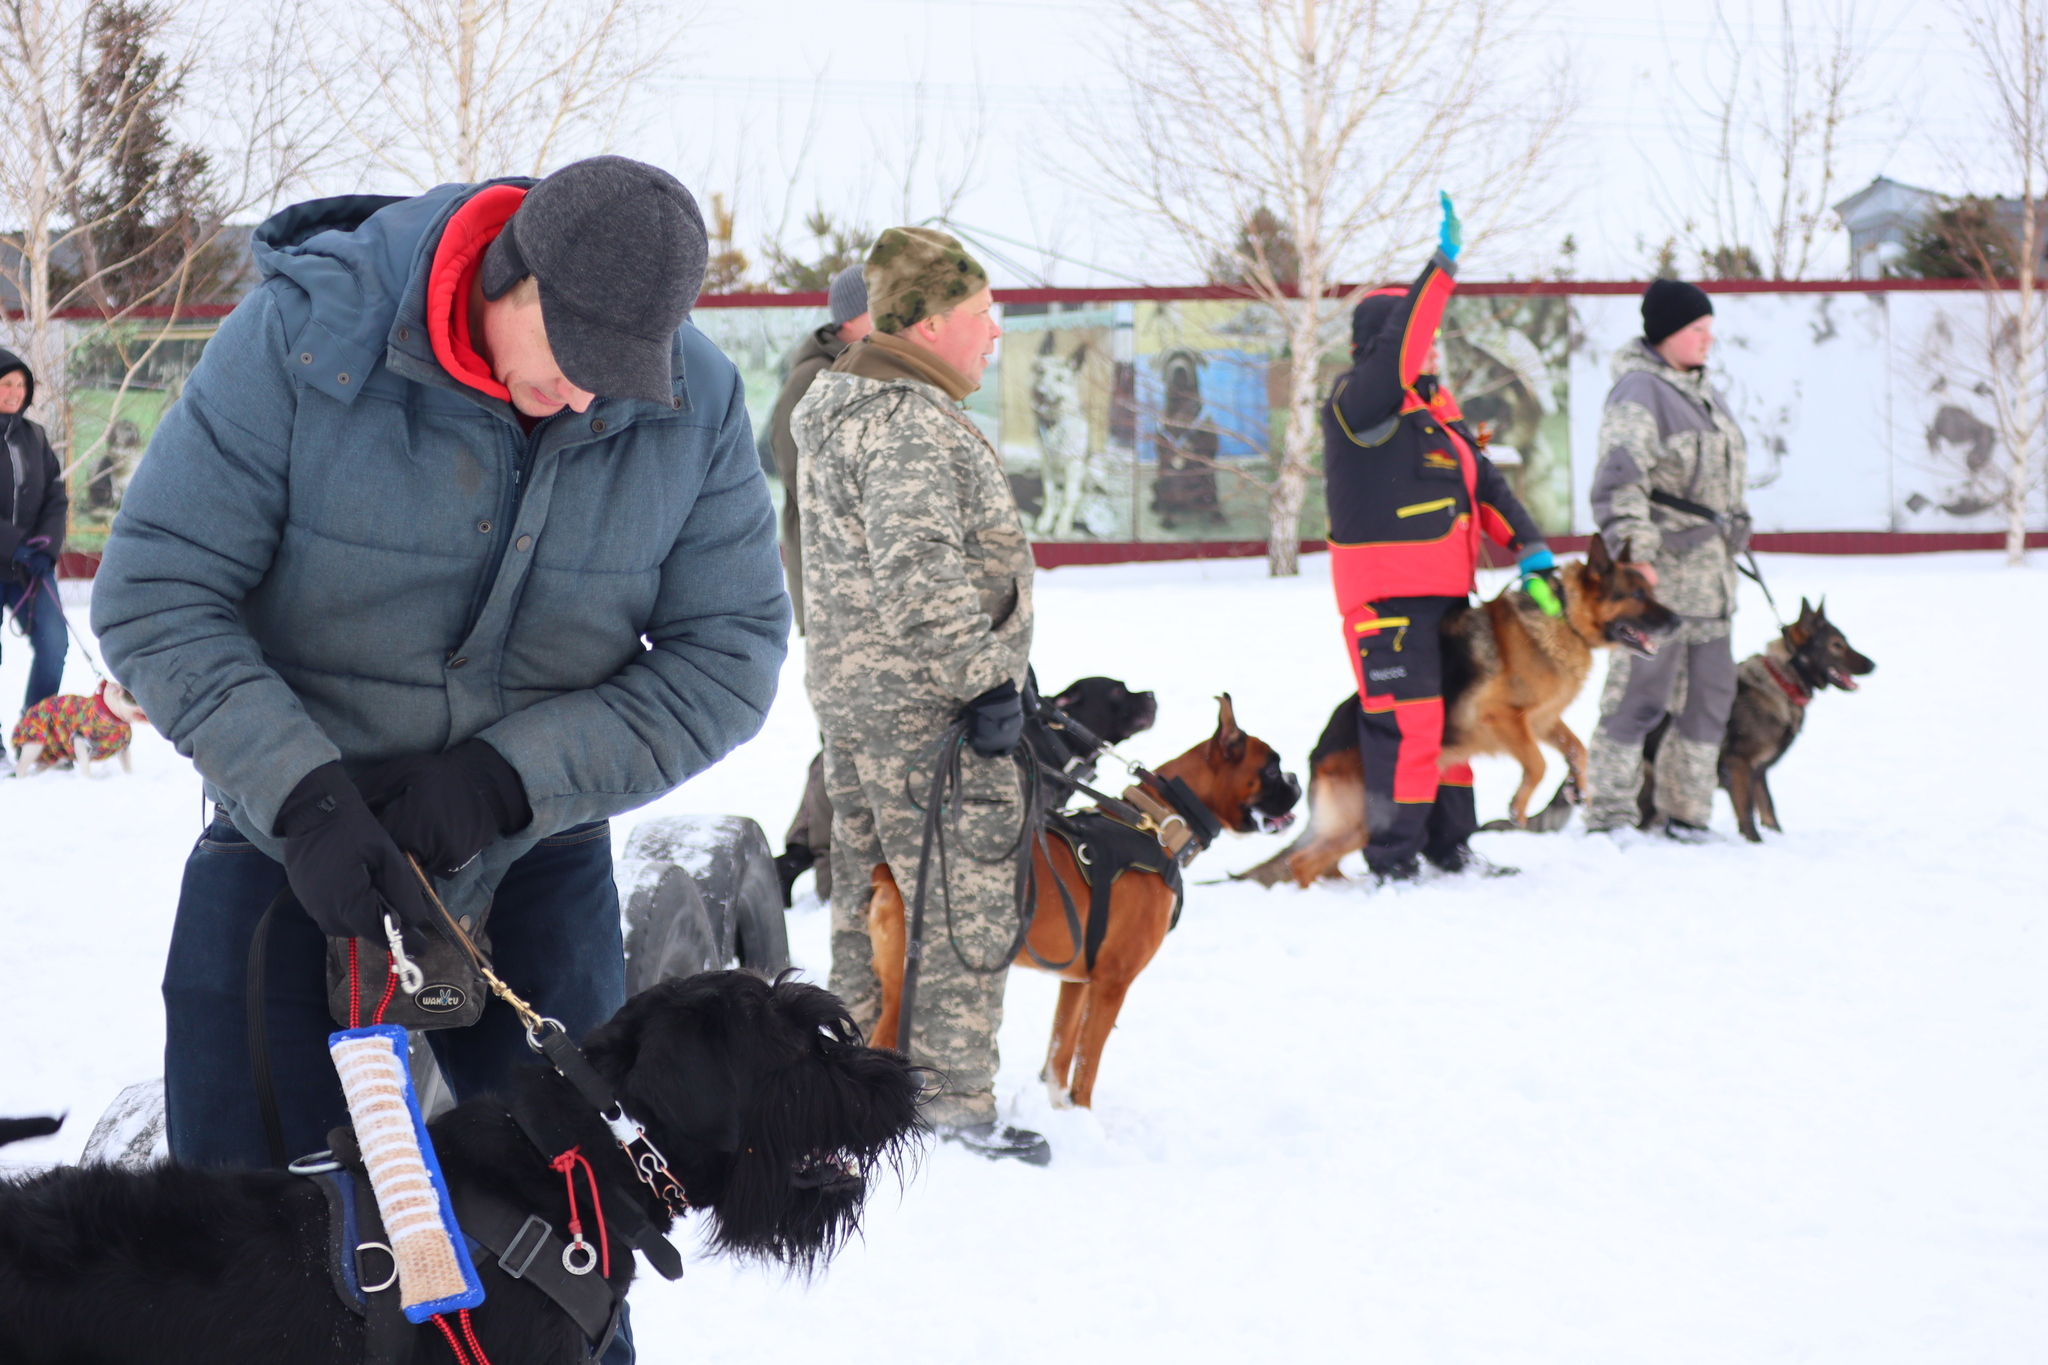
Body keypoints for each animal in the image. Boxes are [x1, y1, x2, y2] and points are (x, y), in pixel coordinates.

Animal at [11, 675, 149, 773]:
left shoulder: (123, 747)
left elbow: (127, 766)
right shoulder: (80, 740)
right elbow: (85, 765)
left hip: (55, 755)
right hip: (34, 741)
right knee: (21, 766)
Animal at [864, 695, 1294, 1113]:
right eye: (1271, 770)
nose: (1294, 780)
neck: (1160, 825)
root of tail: (889, 873)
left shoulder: (1076, 983)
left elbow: (1060, 1053)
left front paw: (1063, 1115)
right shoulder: (1111, 985)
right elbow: (1088, 1063)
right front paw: (1085, 1114)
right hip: (910, 989)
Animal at [1236, 540, 1671, 892]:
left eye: (1650, 590)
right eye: (1635, 593)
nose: (1678, 620)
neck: (1561, 616)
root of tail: (1317, 752)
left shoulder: (1543, 721)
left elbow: (1578, 748)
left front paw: (1578, 786)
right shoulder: (1503, 719)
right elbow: (1538, 764)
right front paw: (1518, 807)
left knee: (1318, 864)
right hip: (1367, 817)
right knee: (1301, 863)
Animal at [1638, 597, 1875, 843]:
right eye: (1837, 645)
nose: (1872, 665)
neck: (1783, 680)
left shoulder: (1759, 771)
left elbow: (1768, 806)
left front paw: (1775, 836)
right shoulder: (1738, 764)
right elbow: (1747, 810)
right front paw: (1754, 842)